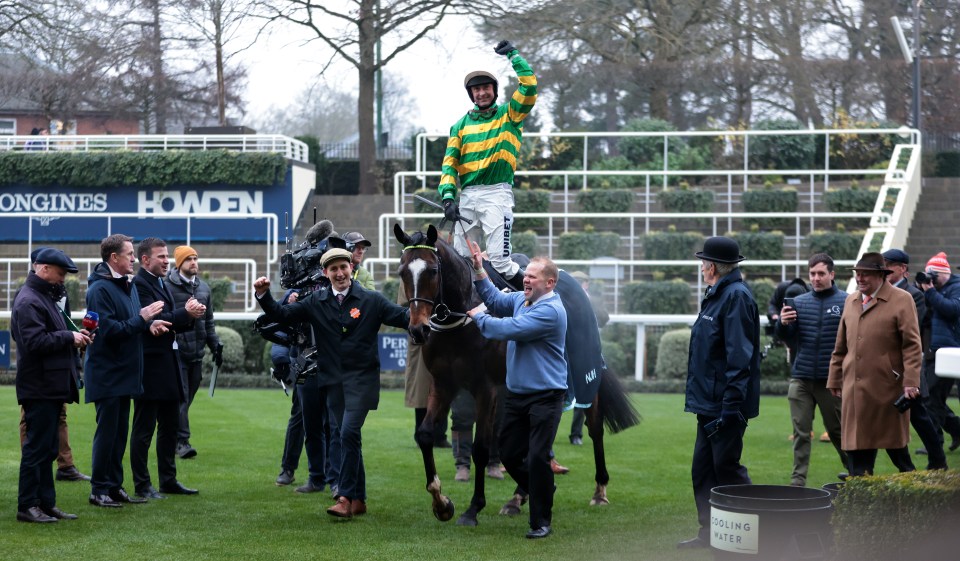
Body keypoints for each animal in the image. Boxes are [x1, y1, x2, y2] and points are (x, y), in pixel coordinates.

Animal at [394, 222, 640, 524]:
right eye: (402, 271)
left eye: (432, 270)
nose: (418, 329)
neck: (460, 318)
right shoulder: (443, 384)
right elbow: (426, 435)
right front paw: (441, 503)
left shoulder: (485, 388)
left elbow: (481, 448)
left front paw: (474, 507)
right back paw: (519, 497)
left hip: (583, 374)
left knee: (594, 428)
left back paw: (599, 490)